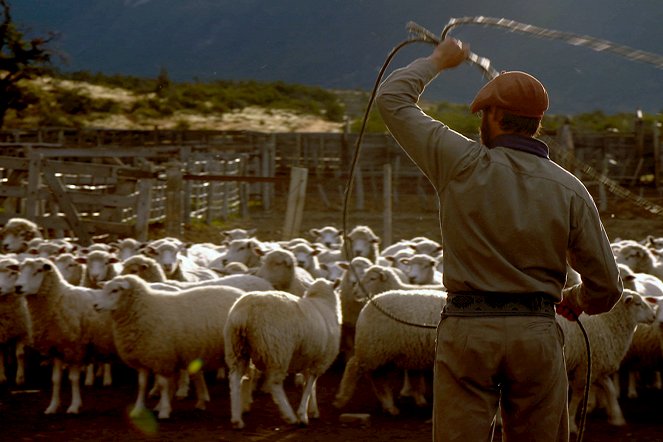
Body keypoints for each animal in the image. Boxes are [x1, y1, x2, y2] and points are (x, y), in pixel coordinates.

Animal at [14, 256, 116, 414]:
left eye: (38, 271)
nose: (18, 287)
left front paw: (74, 406)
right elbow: (56, 379)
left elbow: (73, 378)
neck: (58, 299)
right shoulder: (56, 347)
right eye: (20, 270)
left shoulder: (74, 347)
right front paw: (52, 407)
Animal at [89, 272, 243, 420]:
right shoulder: (143, 356)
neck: (144, 308)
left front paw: (163, 410)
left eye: (115, 290)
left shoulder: (162, 357)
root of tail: (241, 294)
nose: (95, 305)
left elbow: (163, 385)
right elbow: (142, 384)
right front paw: (138, 409)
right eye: (104, 288)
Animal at [227, 280, 344, 428]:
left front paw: (313, 410)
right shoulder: (319, 361)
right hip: (278, 351)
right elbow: (309, 386)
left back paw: (237, 419)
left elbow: (311, 386)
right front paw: (303, 415)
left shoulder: (309, 358)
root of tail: (244, 313)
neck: (322, 302)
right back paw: (290, 416)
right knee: (275, 384)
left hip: (237, 349)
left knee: (235, 379)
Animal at [334, 288, 448, 416]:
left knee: (378, 379)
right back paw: (341, 398)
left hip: (384, 355)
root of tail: (367, 307)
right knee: (353, 367)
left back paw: (391, 405)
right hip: (373, 351)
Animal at [556, 288, 656, 434]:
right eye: (637, 304)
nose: (654, 316)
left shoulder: (597, 366)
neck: (606, 324)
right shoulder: (585, 367)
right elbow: (577, 396)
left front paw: (616, 417)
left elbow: (610, 389)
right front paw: (572, 424)